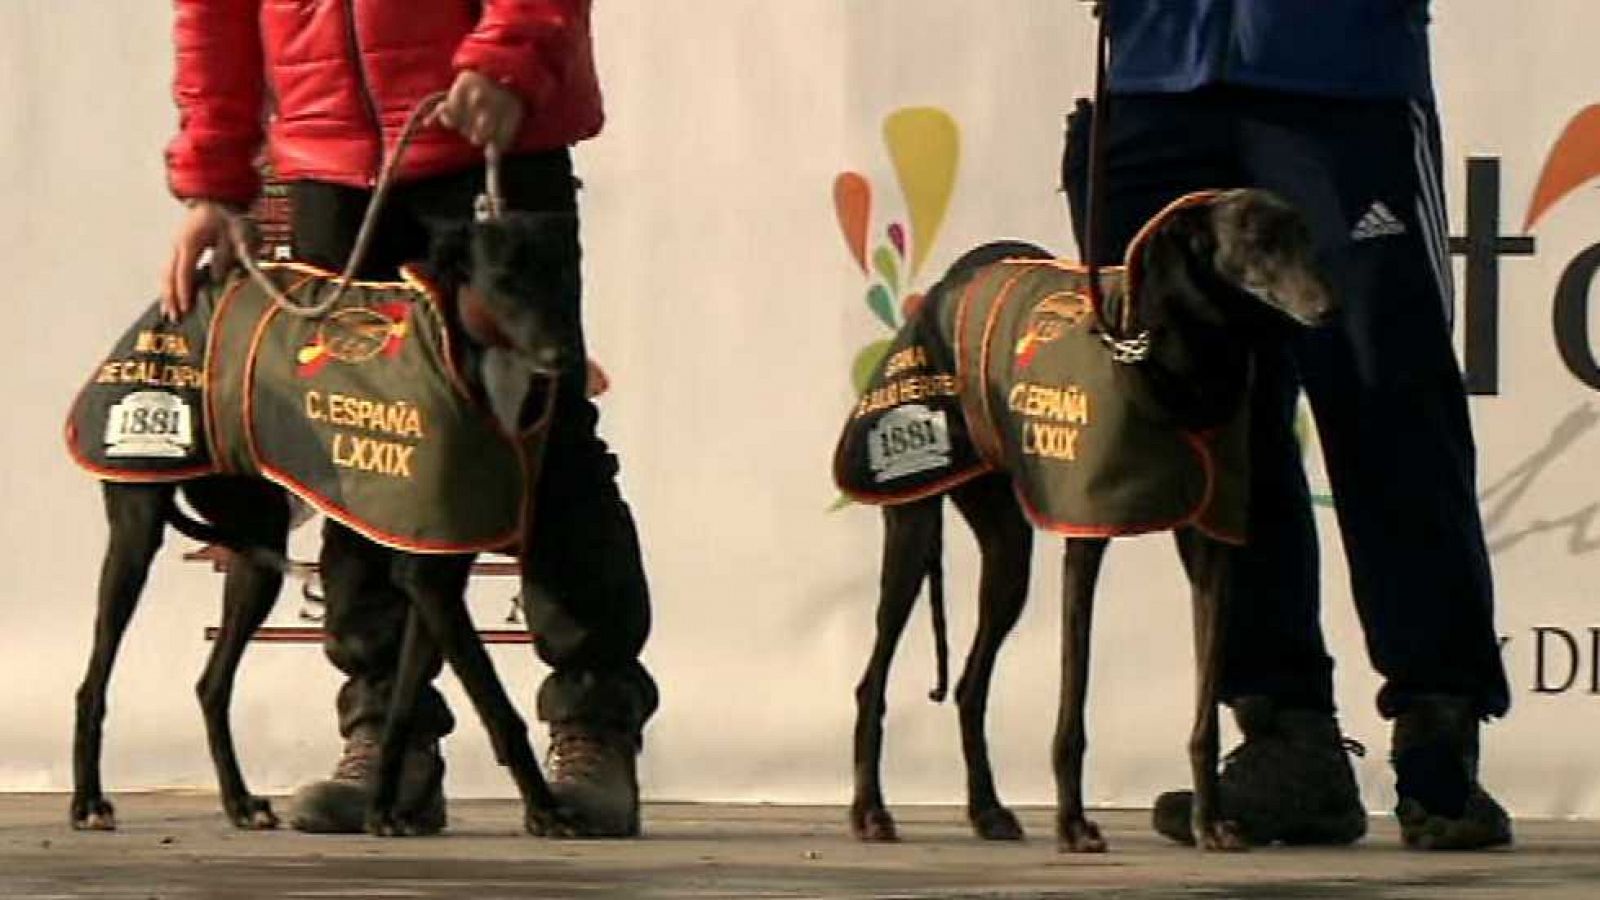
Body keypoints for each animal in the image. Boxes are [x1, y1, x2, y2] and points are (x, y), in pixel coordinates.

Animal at [838, 187, 1337, 845]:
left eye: (1306, 235)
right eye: (1257, 239)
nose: (1327, 308)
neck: (1180, 365)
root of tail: (943, 287)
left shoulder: (1211, 550)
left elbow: (1205, 713)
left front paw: (1210, 821)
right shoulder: (1086, 538)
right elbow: (1072, 703)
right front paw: (1073, 823)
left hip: (1007, 557)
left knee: (970, 686)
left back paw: (988, 809)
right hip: (913, 531)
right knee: (872, 681)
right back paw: (870, 810)